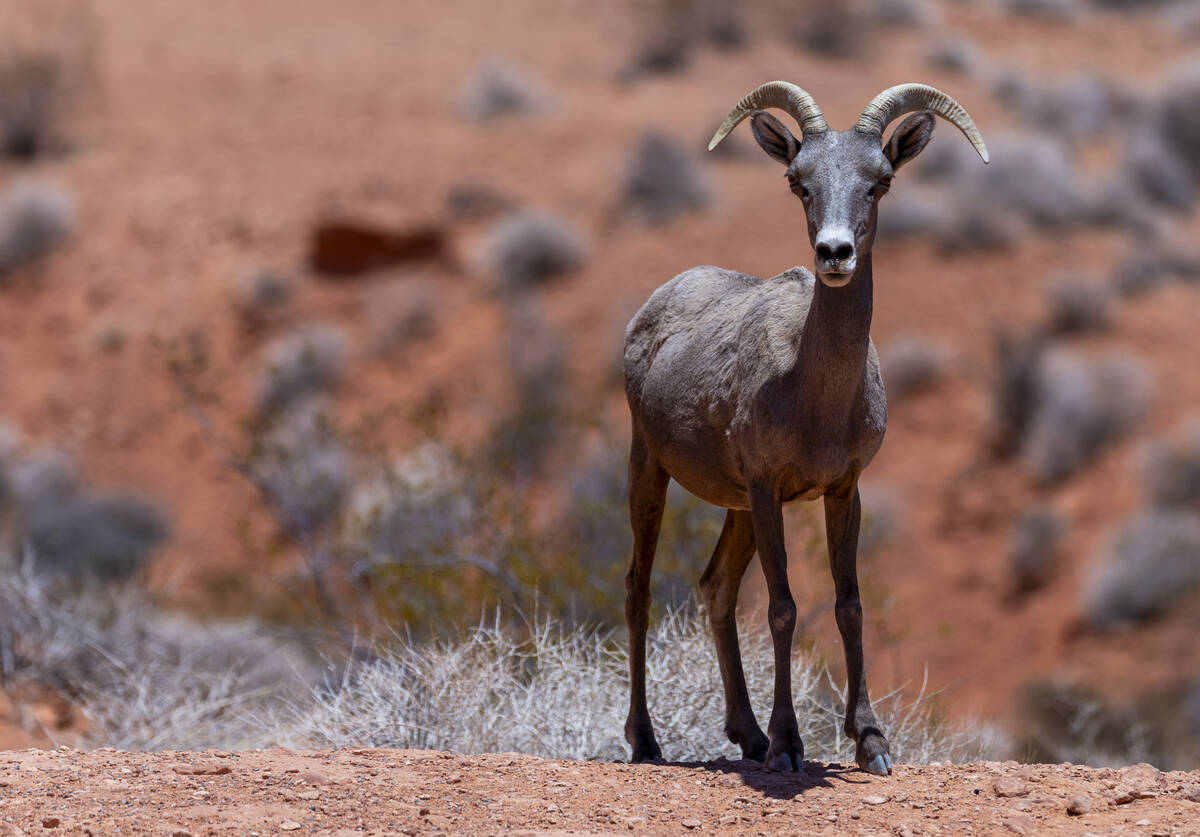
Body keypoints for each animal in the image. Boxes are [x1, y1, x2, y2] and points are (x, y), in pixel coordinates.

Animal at [622, 81, 987, 776]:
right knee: (639, 589)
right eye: (799, 182)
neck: (812, 392)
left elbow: (849, 604)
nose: (834, 253)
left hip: (736, 507)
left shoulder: (842, 490)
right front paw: (789, 746)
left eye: (880, 182)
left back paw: (745, 736)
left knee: (715, 589)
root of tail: (653, 305)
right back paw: (647, 743)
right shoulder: (769, 490)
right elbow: (785, 609)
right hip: (650, 470)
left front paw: (870, 742)